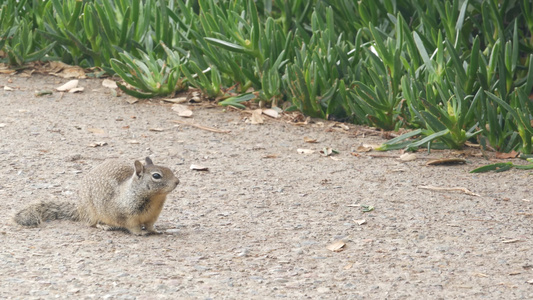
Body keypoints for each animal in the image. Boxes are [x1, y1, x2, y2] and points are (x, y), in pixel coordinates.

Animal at [13, 156, 180, 236]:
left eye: (169, 169)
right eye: (156, 176)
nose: (177, 181)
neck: (154, 199)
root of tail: (79, 209)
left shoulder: (152, 216)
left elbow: (151, 226)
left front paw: (156, 231)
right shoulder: (127, 216)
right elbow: (133, 227)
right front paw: (140, 233)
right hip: (93, 212)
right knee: (91, 224)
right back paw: (105, 226)